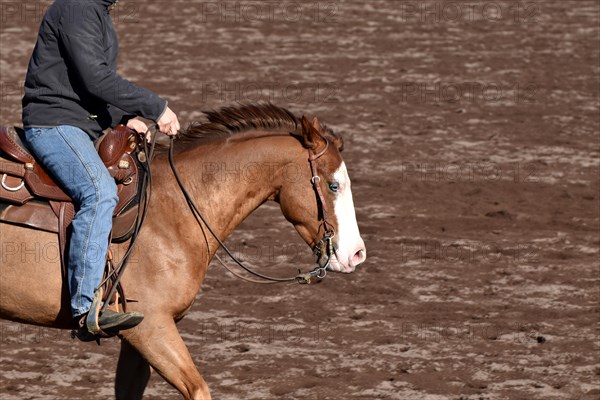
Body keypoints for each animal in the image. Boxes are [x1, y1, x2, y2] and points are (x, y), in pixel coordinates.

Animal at [0, 104, 366, 400]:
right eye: (333, 185)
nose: (357, 254)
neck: (172, 208)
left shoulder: (138, 337)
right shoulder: (150, 328)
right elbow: (198, 389)